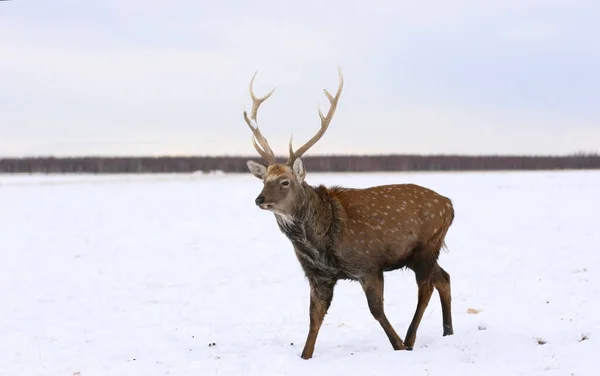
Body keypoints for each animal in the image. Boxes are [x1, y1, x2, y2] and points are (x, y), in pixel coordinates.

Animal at [241, 67, 452, 358]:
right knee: (444, 277)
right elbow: (314, 318)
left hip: (427, 245)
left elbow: (376, 311)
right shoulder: (318, 275)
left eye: (285, 182)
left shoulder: (368, 264)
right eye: (264, 180)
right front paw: (305, 356)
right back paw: (447, 332)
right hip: (418, 253)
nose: (259, 199)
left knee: (427, 287)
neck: (319, 242)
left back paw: (410, 340)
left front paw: (397, 345)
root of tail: (450, 205)